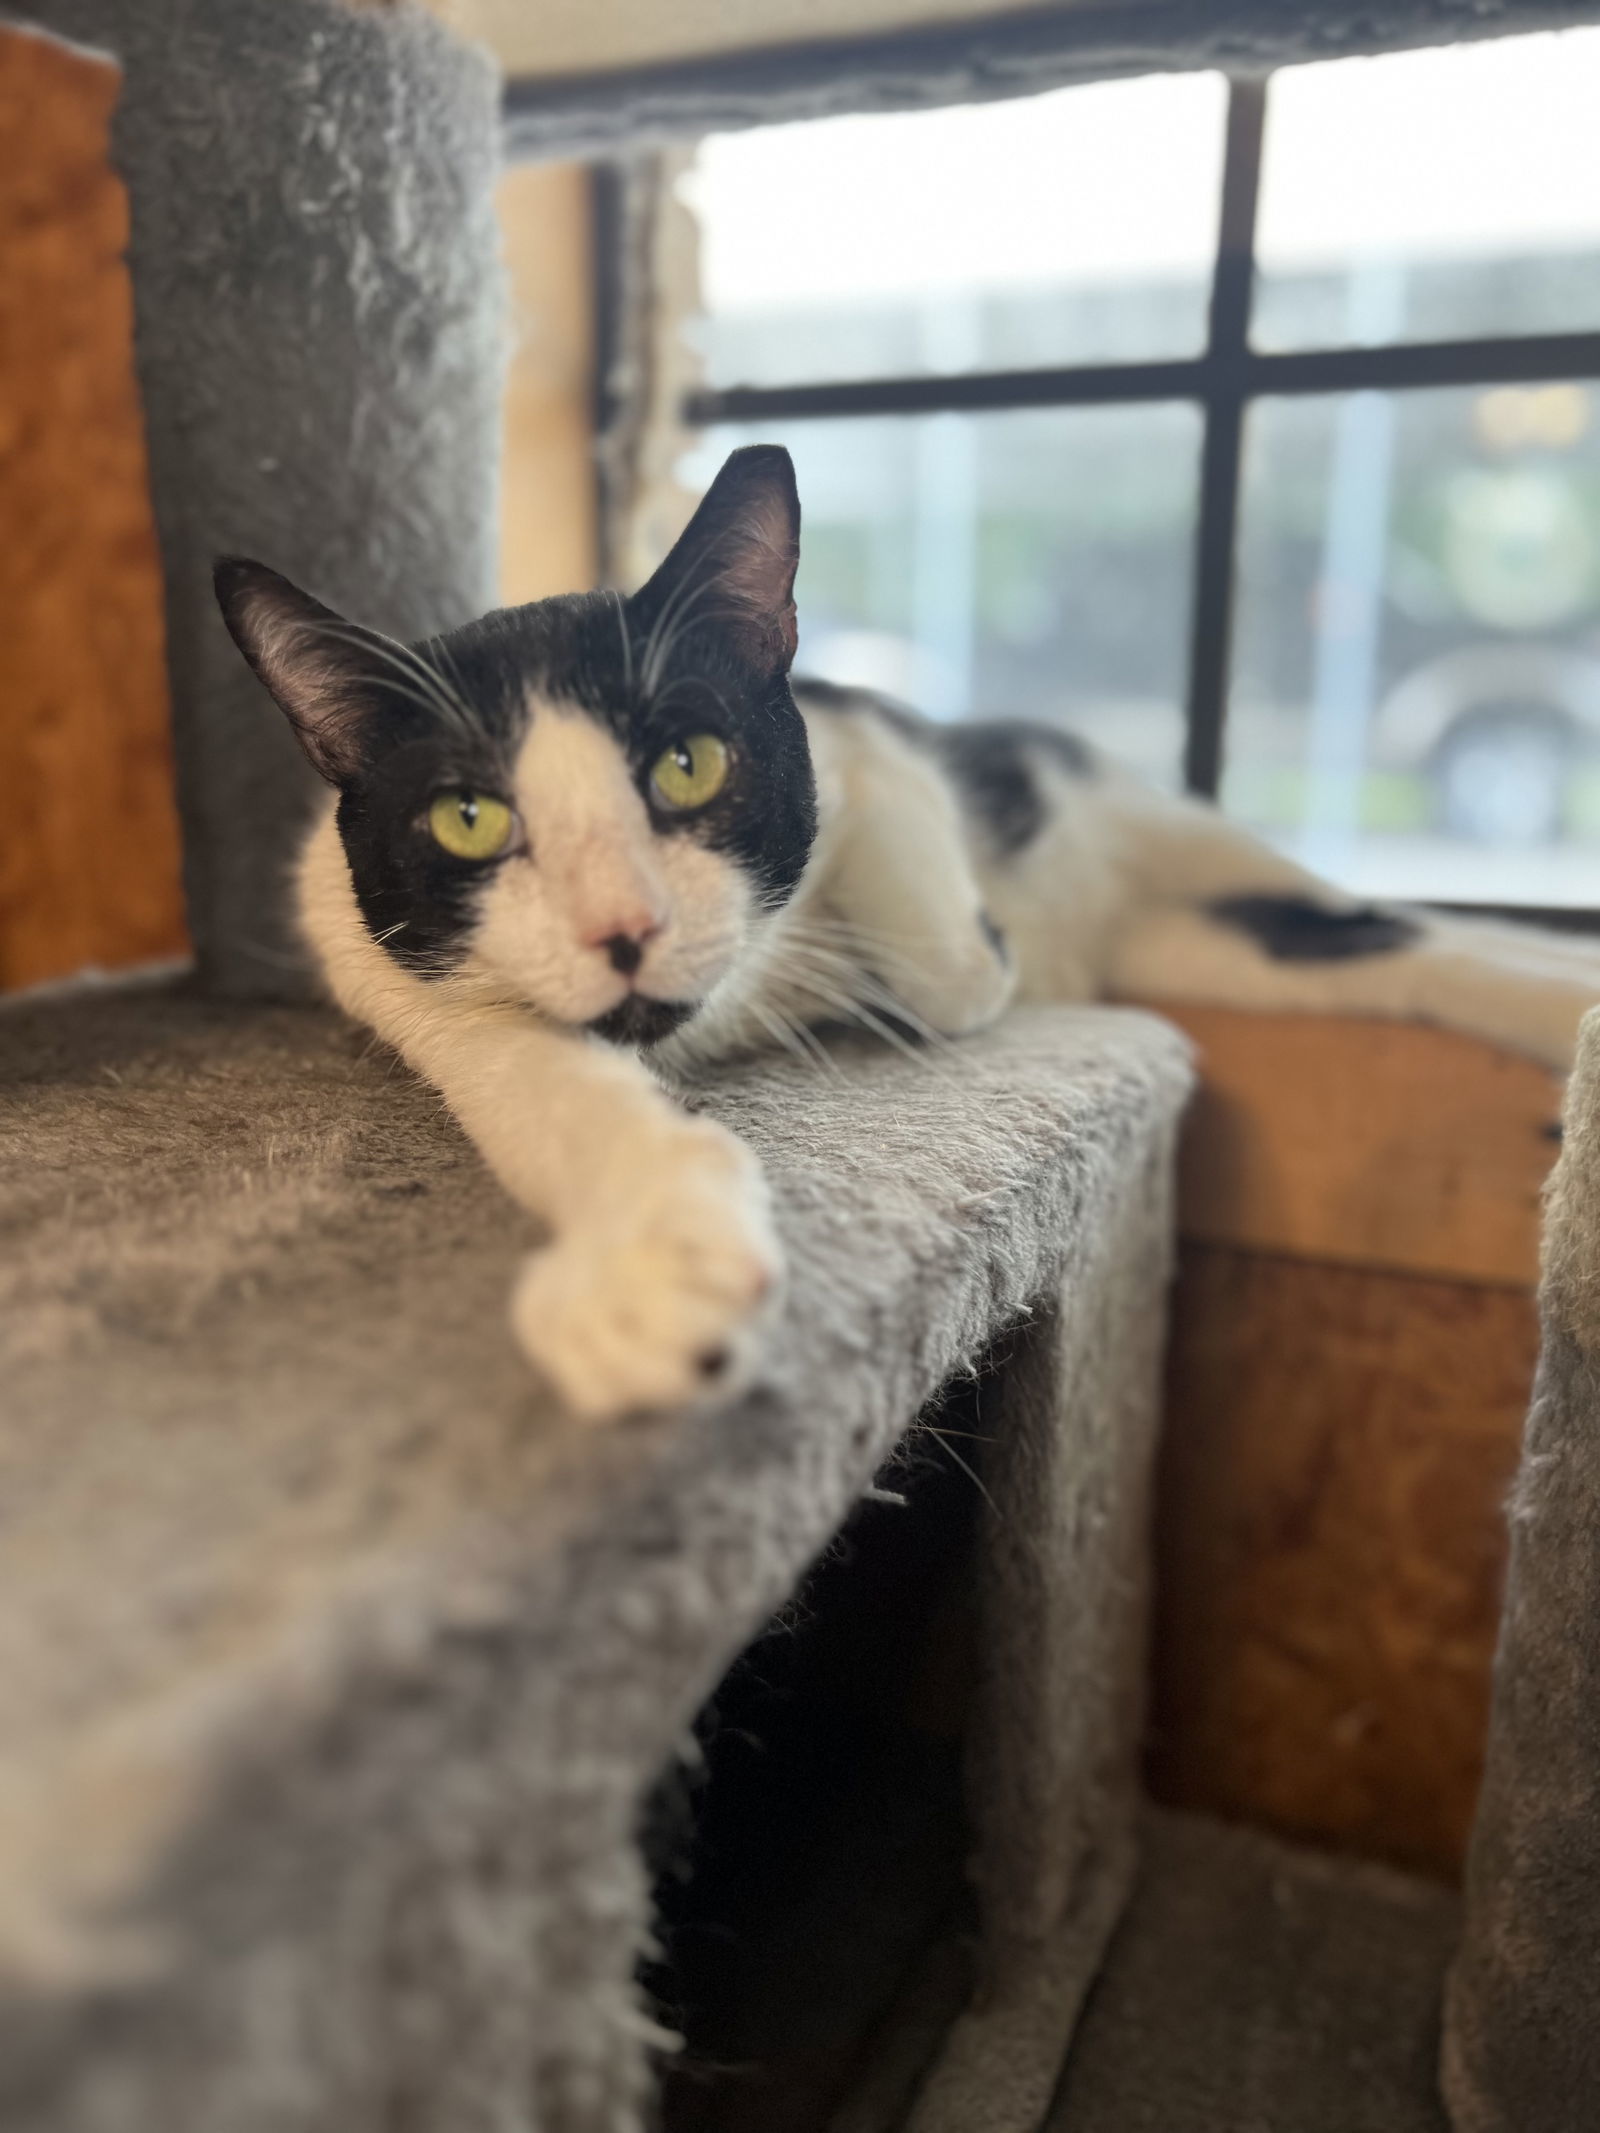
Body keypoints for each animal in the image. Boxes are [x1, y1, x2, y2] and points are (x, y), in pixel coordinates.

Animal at [219, 443, 1600, 1424]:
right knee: (1395, 948)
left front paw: (961, 951)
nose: (626, 925)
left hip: (1164, 835)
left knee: (1387, 923)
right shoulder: (395, 970)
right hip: (1219, 950)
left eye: (689, 762)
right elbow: (548, 1090)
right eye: (467, 818)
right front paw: (647, 1268)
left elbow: (925, 912)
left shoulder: (857, 728)